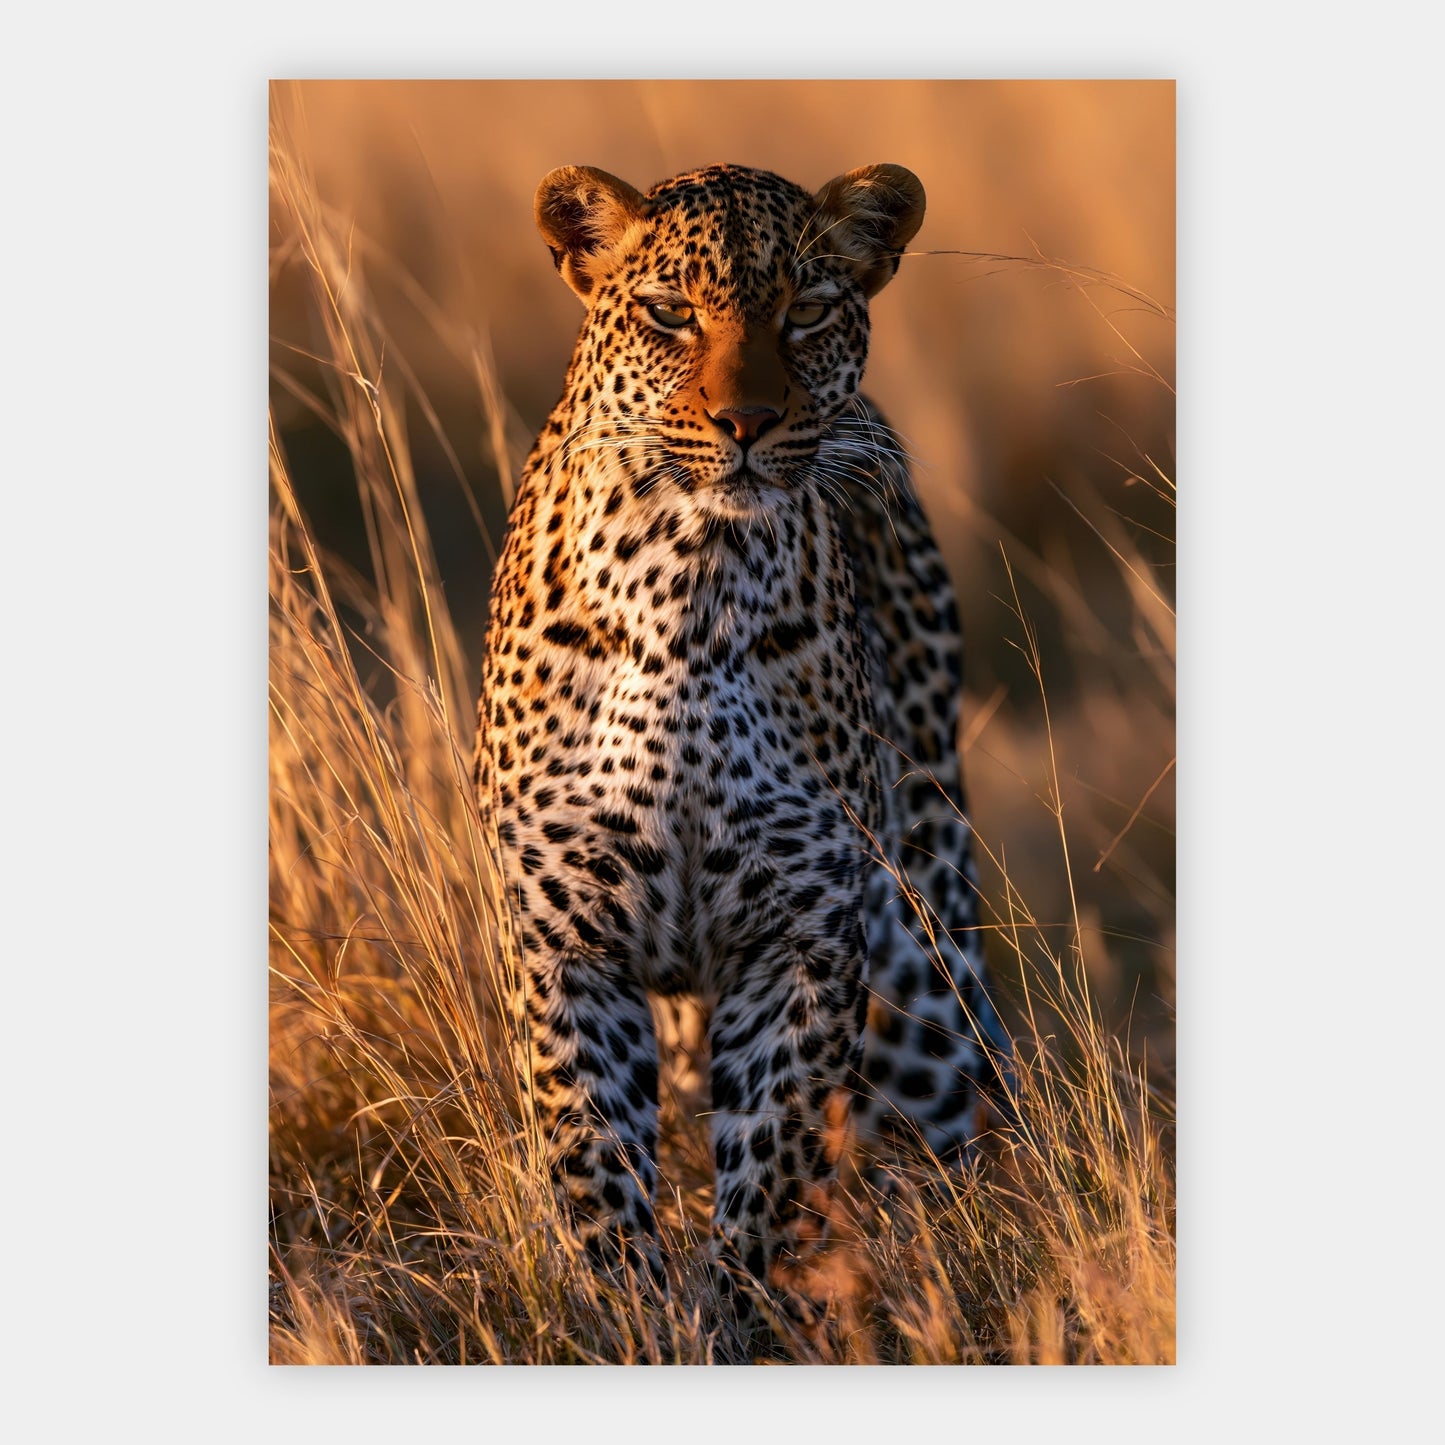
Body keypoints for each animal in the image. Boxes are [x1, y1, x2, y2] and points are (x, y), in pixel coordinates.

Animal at [473, 161, 1012, 1308]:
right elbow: (593, 1158)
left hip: (923, 959)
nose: (747, 421)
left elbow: (771, 1166)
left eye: (805, 310)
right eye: (669, 313)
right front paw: (627, 1317)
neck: (689, 580)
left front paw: (735, 1317)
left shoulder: (801, 940)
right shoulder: (565, 942)